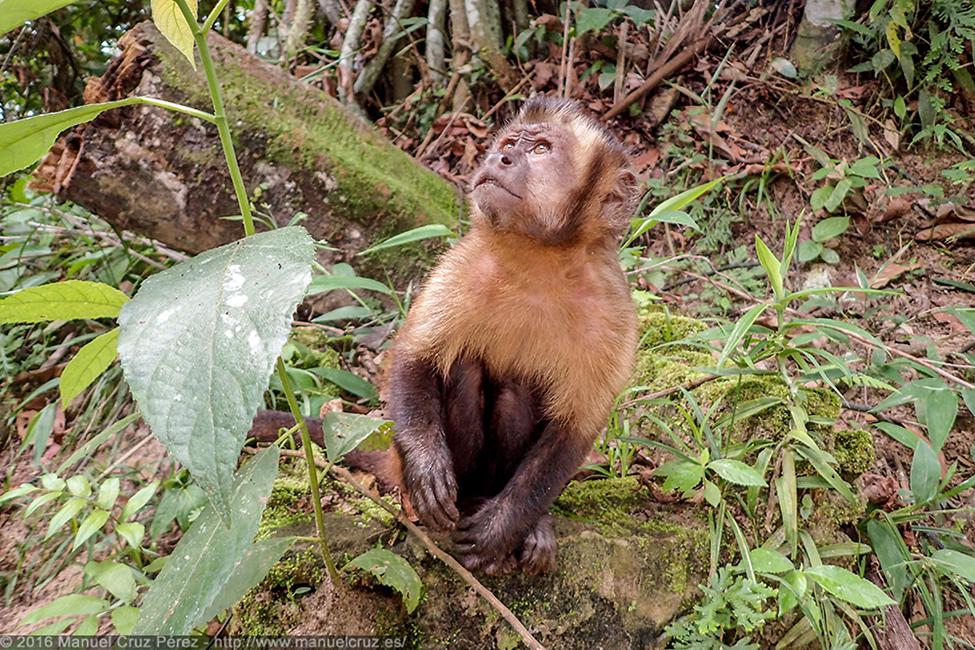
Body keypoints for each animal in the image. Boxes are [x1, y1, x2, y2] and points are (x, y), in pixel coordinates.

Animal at [250, 96, 640, 572]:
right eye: (510, 144)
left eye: (541, 150)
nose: (501, 158)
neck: (539, 263)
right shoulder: (463, 265)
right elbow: (414, 358)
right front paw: (427, 466)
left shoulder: (613, 310)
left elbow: (575, 428)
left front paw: (502, 529)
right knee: (462, 367)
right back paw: (462, 496)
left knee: (520, 390)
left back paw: (525, 521)